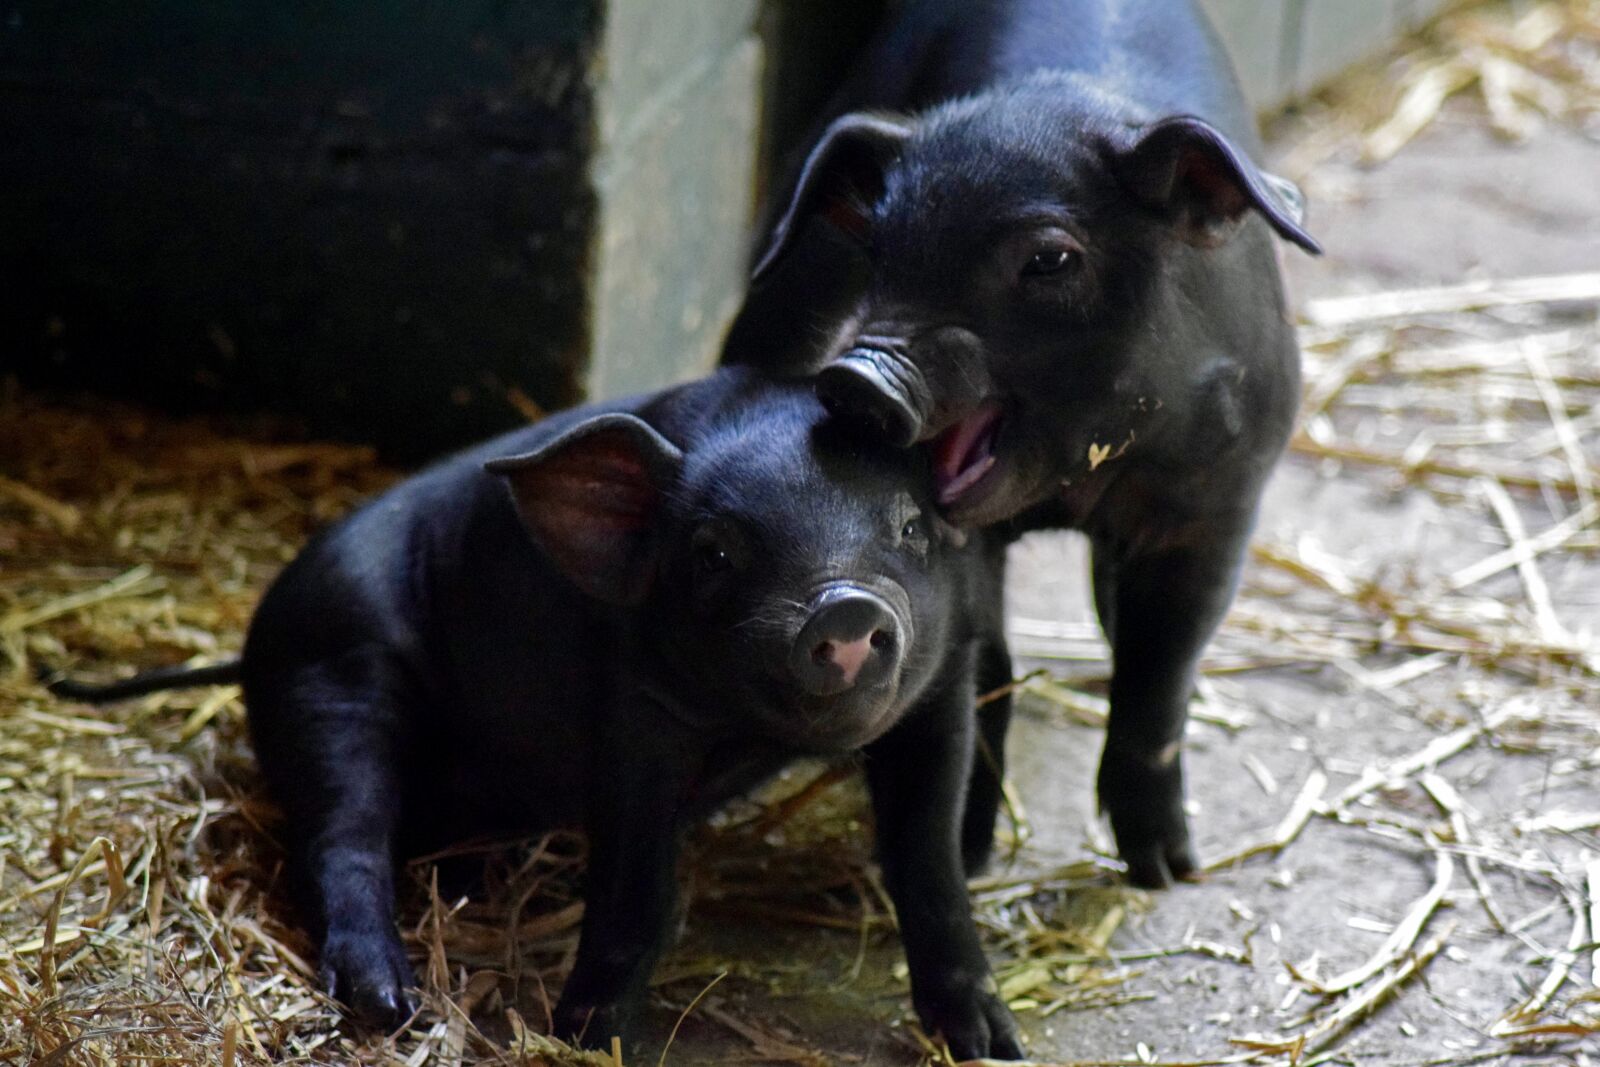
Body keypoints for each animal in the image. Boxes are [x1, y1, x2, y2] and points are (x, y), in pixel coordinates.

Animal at [48, 366, 1026, 1061]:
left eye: (909, 526)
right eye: (715, 553)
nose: (844, 608)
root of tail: (251, 649)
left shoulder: (944, 692)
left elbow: (930, 864)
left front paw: (990, 1044)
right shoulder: (632, 712)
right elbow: (635, 887)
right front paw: (584, 1034)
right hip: (331, 684)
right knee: (344, 833)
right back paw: (391, 1005)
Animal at [722, 0, 1322, 890]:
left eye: (1048, 259)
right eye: (881, 249)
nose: (858, 375)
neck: (1077, 485)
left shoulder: (1221, 501)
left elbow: (1160, 671)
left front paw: (1167, 870)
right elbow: (989, 671)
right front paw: (970, 859)